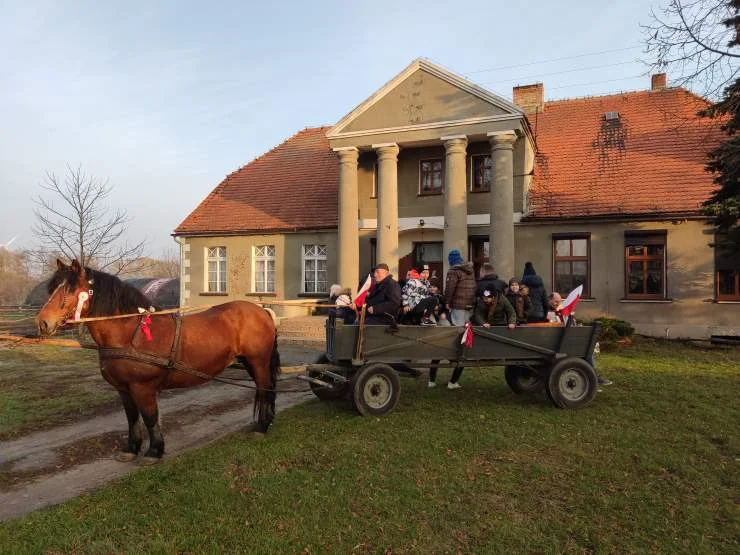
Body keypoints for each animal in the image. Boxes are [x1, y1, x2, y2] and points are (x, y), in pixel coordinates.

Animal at [34, 260, 280, 464]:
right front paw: (131, 449)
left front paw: (154, 451)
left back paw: (261, 427)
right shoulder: (123, 388)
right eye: (52, 289)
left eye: (71, 290)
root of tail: (262, 311)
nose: (43, 322)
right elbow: (132, 417)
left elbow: (150, 417)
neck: (130, 335)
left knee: (264, 389)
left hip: (258, 362)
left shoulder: (143, 387)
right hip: (249, 362)